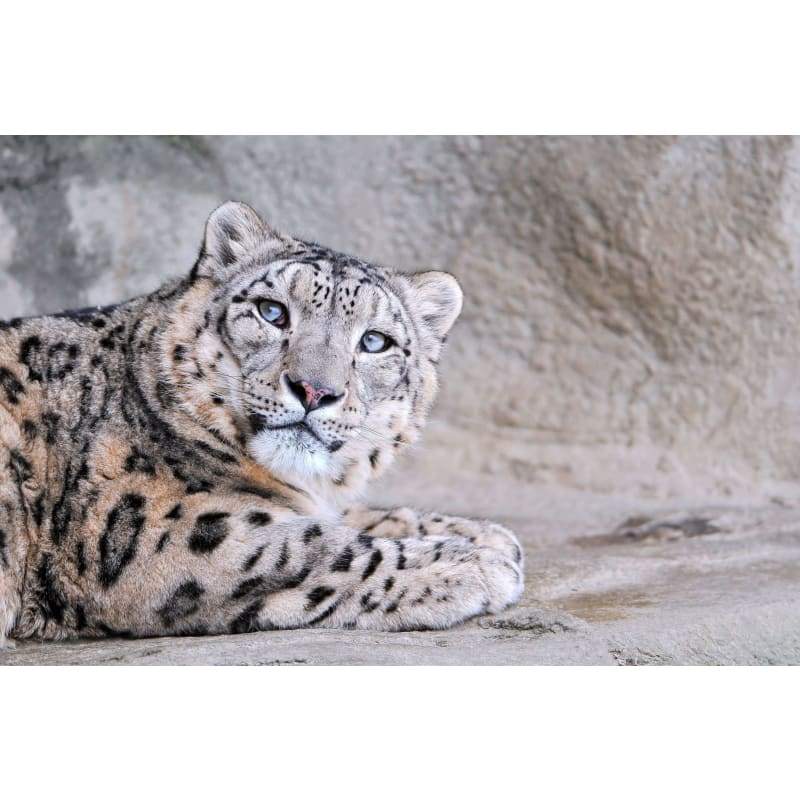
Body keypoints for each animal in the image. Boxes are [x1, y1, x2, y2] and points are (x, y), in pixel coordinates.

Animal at [0, 201, 523, 645]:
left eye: (375, 341)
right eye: (272, 312)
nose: (314, 390)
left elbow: (353, 518)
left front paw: (484, 535)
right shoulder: (159, 530)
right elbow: (314, 548)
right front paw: (473, 562)